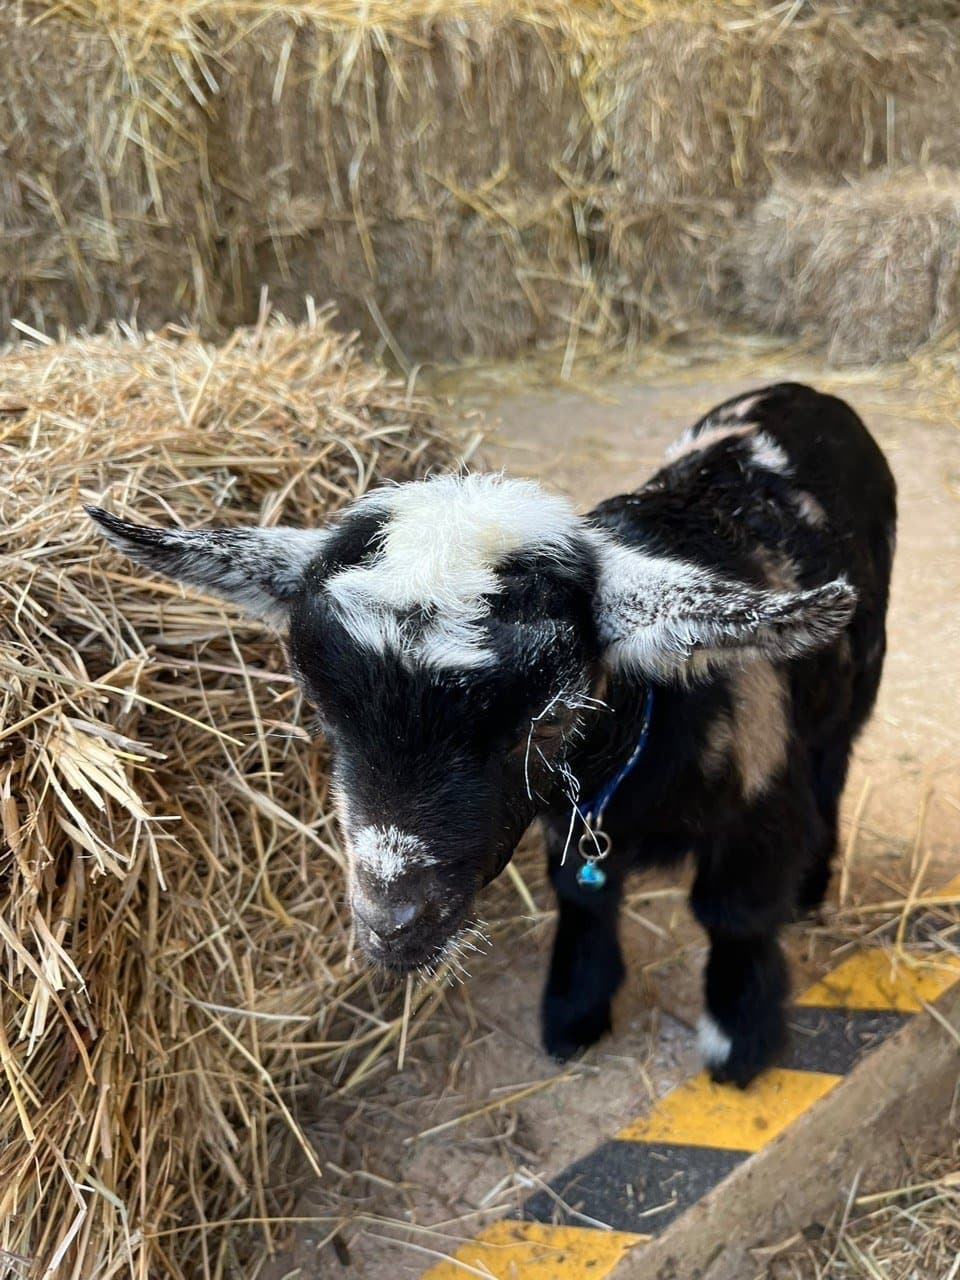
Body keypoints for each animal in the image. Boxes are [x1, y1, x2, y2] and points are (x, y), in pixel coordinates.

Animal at [87, 381, 896, 1086]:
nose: (391, 926)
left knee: (836, 762)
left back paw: (815, 883)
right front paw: (574, 1010)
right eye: (323, 709)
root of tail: (802, 393)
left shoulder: (762, 804)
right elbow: (583, 894)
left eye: (552, 719)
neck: (629, 769)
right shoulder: (575, 822)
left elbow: (737, 916)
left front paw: (738, 1041)